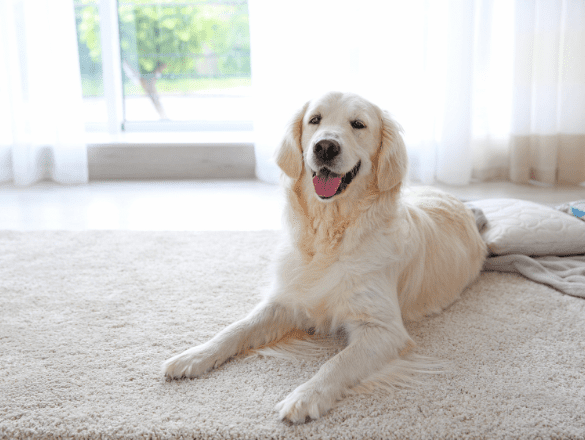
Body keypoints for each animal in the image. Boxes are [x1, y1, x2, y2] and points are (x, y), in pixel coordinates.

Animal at [162, 92, 486, 422]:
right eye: (314, 120)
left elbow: (338, 362)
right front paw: (194, 355)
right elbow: (236, 328)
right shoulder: (286, 300)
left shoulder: (384, 329)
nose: (325, 147)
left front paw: (306, 396)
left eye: (358, 124)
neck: (330, 235)